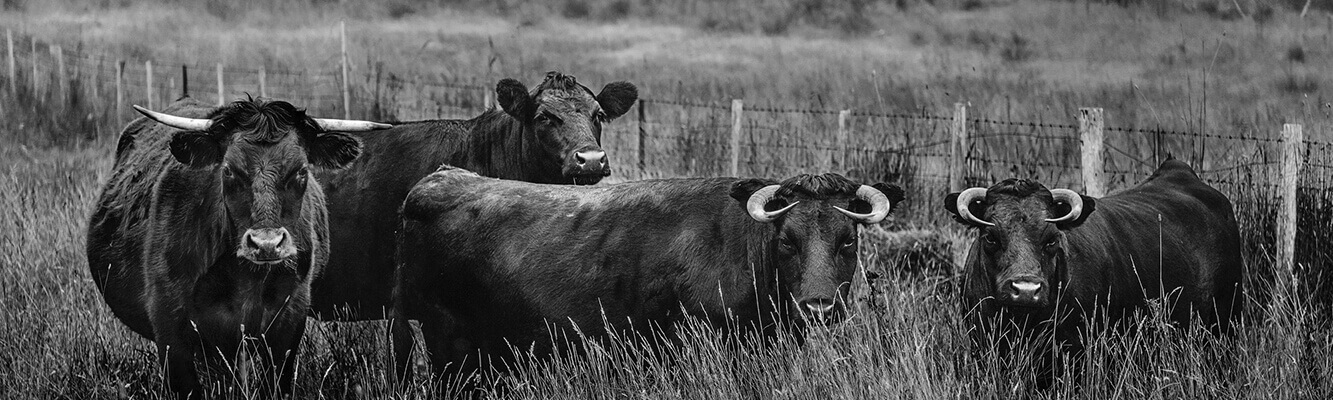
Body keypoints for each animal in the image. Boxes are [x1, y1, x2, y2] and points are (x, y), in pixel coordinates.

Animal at [85, 96, 389, 397]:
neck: (247, 280)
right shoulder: (170, 325)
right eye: (229, 171)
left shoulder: (290, 321)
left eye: (301, 171)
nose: (267, 244)